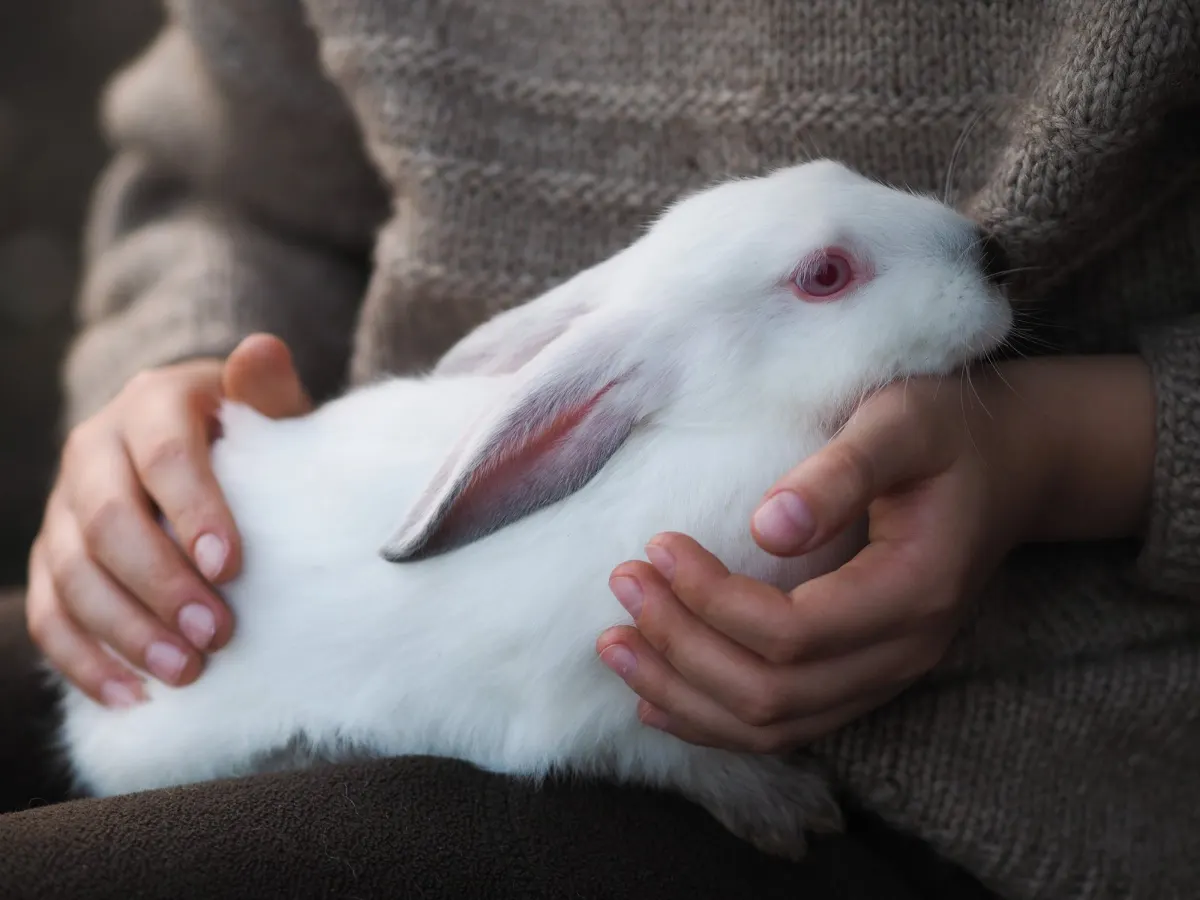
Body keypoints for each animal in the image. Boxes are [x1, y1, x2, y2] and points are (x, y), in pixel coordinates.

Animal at [53, 158, 1013, 861]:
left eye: (839, 168)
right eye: (825, 275)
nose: (992, 253)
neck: (720, 428)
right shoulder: (600, 708)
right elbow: (686, 756)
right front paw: (790, 808)